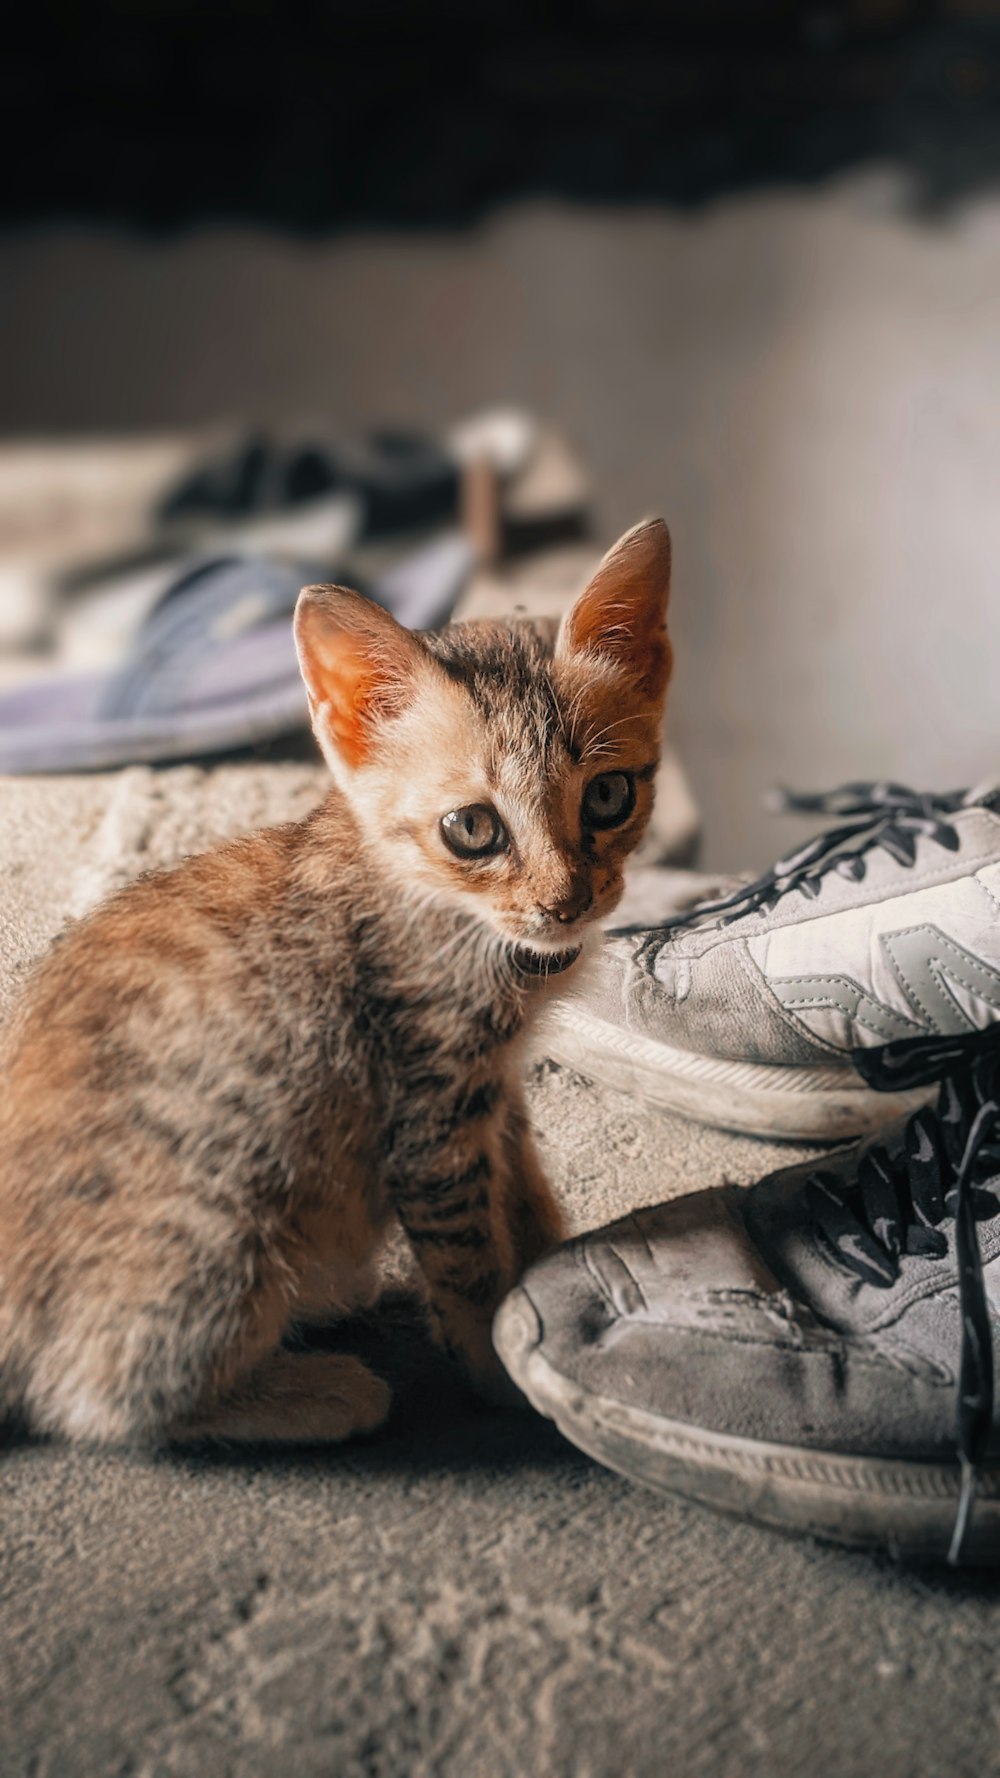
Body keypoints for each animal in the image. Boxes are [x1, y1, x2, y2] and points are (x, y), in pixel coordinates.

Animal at [0, 515, 672, 1443]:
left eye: (608, 796)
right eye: (472, 829)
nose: (568, 902)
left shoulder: (491, 1084)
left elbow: (524, 1183)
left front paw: (546, 1268)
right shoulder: (428, 1104)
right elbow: (466, 1249)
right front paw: (500, 1358)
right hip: (224, 1214)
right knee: (107, 1398)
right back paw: (311, 1389)